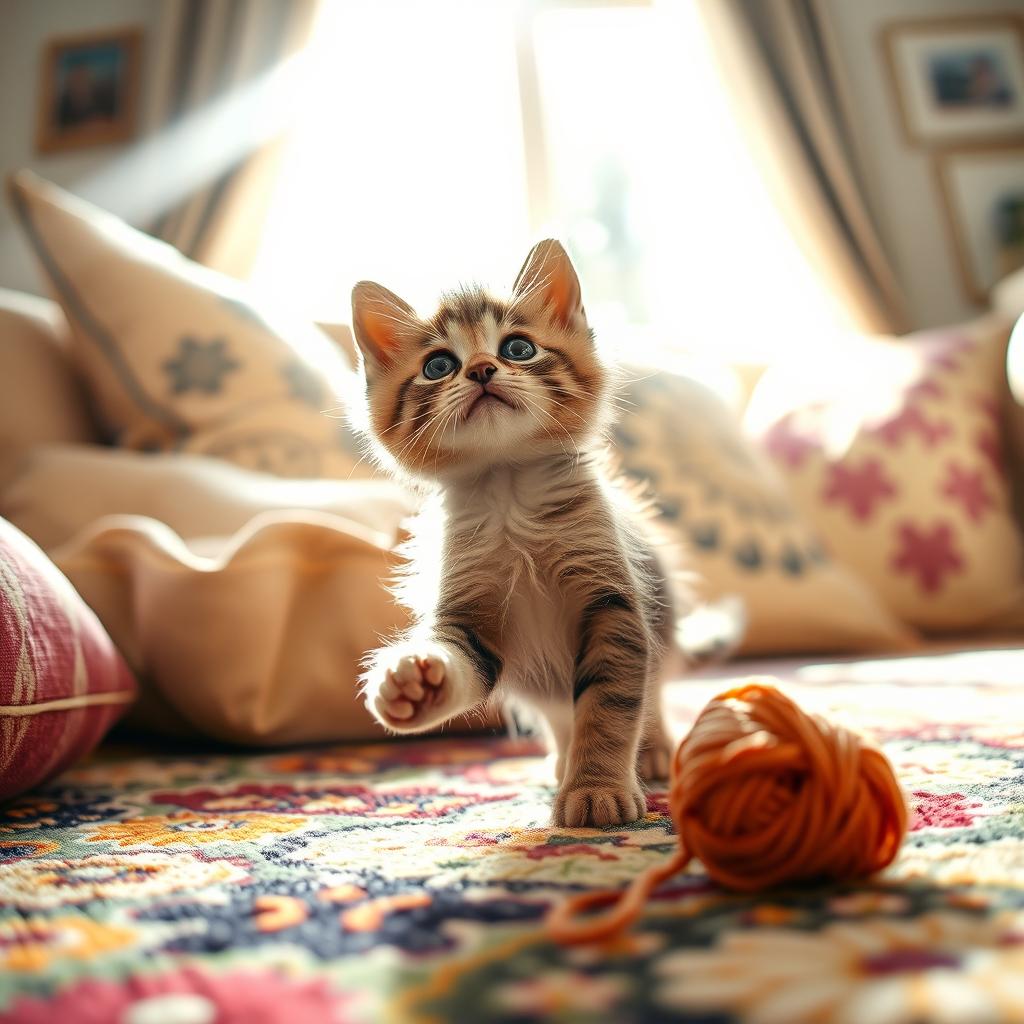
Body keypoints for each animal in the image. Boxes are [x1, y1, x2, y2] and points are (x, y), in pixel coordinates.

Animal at [352, 237, 688, 823]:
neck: (509, 497)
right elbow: (463, 661)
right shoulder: (470, 615)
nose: (482, 369)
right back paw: (560, 761)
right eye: (438, 365)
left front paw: (597, 787)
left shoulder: (613, 606)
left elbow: (611, 705)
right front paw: (412, 683)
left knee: (652, 694)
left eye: (517, 349)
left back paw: (653, 751)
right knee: (558, 713)